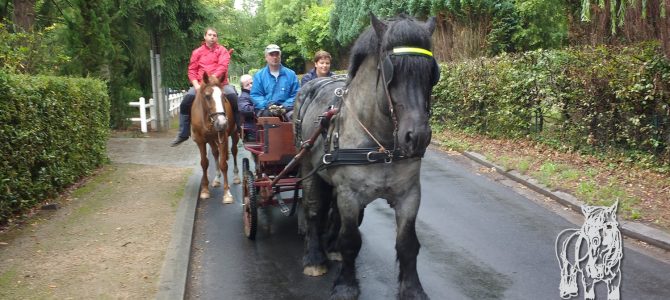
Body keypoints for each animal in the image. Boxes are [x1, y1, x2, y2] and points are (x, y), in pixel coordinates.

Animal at [190, 73, 240, 204]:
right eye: (207, 96)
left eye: (224, 96)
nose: (222, 123)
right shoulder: (201, 141)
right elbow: (204, 163)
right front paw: (205, 190)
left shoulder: (223, 138)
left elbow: (224, 164)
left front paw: (227, 193)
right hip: (212, 140)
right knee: (215, 153)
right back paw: (217, 179)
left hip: (234, 135)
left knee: (234, 151)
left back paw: (236, 177)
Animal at [296, 12, 440, 298]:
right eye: (392, 72)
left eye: (431, 73)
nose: (417, 137)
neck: (381, 145)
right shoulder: (349, 194)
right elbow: (351, 240)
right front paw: (345, 285)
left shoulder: (409, 194)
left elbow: (407, 243)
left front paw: (412, 288)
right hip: (309, 168)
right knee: (314, 210)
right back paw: (316, 256)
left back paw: (331, 247)